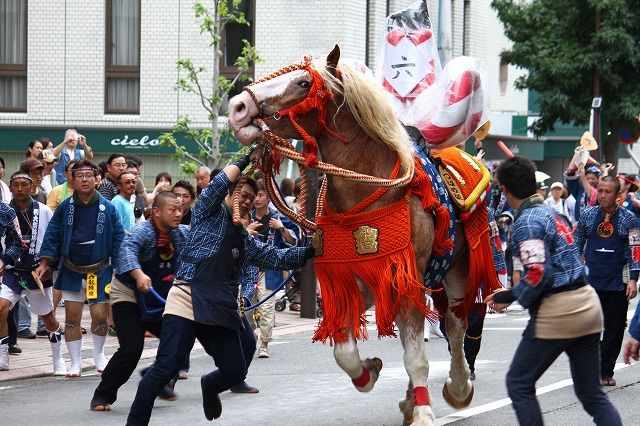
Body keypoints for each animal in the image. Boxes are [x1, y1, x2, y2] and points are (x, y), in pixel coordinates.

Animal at [230, 45, 496, 424]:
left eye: (303, 83)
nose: (237, 106)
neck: (364, 195)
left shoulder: (405, 279)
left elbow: (416, 357)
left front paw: (424, 412)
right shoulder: (353, 279)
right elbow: (344, 349)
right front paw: (369, 371)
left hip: (460, 266)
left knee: (456, 326)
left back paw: (457, 389)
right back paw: (410, 399)